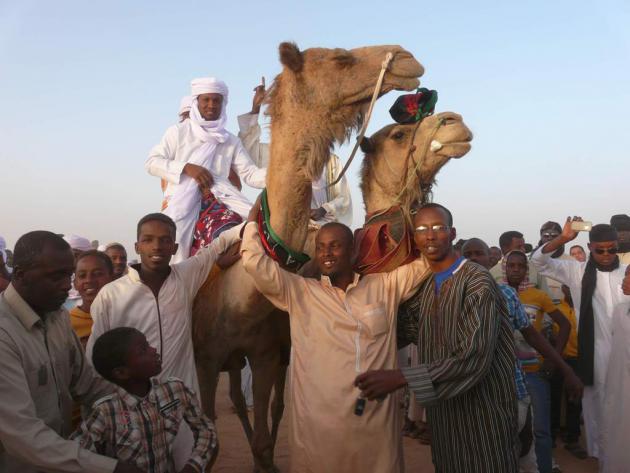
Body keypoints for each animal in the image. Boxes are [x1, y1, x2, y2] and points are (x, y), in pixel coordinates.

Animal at [193, 42, 428, 470]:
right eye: (341, 59)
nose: (405, 56)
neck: (237, 298)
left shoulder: (266, 356)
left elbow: (263, 439)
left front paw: (266, 459)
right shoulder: (204, 359)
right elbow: (213, 436)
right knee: (234, 396)